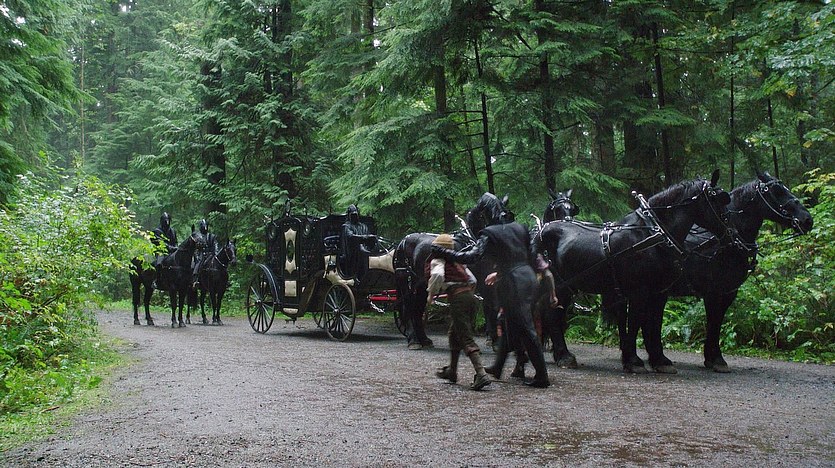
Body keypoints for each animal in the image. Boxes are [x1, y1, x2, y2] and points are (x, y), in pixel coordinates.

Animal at [534, 171, 733, 373]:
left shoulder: (658, 293)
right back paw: (564, 356)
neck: (651, 235)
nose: (730, 232)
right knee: (551, 316)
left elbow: (654, 323)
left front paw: (659, 360)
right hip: (559, 286)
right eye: (717, 199)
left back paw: (561, 354)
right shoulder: (639, 291)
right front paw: (633, 360)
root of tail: (541, 232)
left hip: (567, 287)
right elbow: (636, 322)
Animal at [640, 172, 812, 373]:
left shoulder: (727, 292)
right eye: (777, 191)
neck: (727, 241)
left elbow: (715, 323)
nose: (807, 219)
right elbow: (715, 323)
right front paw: (717, 359)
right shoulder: (717, 293)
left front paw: (711, 358)